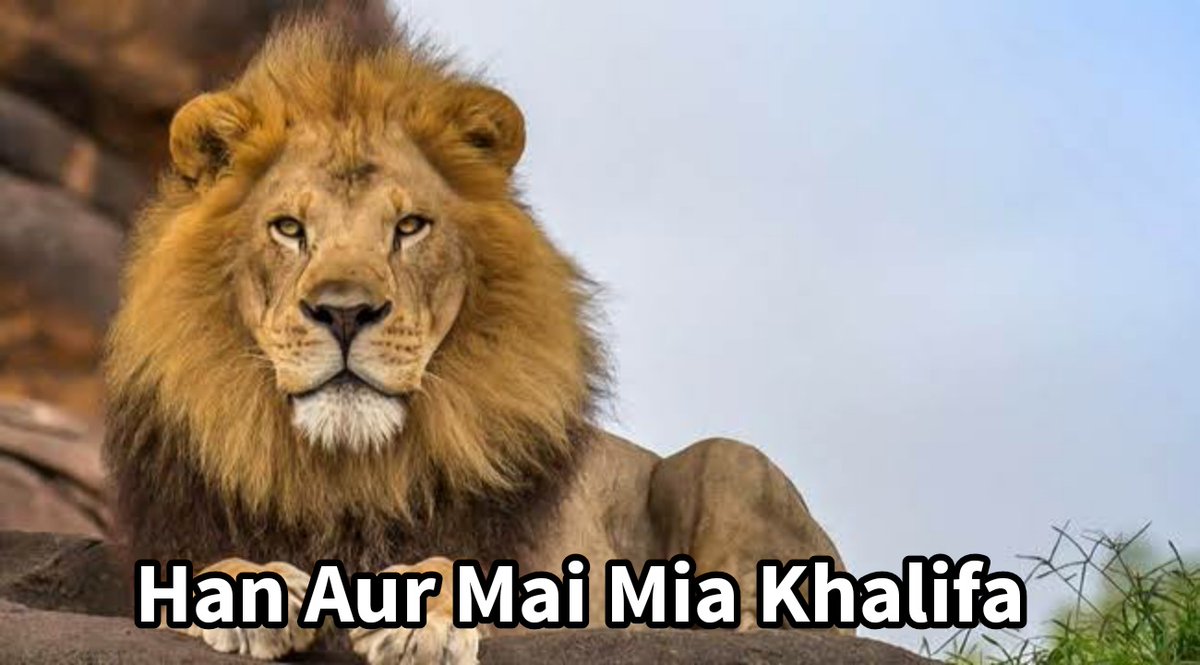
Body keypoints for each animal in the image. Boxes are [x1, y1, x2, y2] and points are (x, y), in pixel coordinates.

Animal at [103, 15, 845, 664]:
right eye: (288, 228)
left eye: (409, 226)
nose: (345, 313)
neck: (349, 473)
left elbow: (463, 571)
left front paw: (411, 620)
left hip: (728, 461)